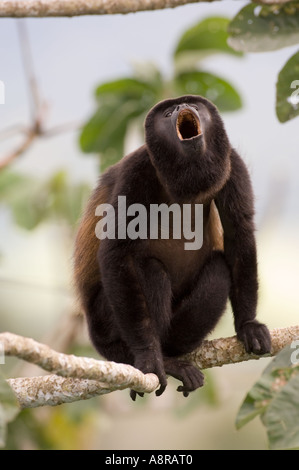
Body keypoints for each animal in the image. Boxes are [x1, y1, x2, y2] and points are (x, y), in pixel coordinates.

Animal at [74, 94, 272, 400]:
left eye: (195, 105)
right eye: (167, 113)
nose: (180, 107)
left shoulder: (232, 162)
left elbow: (239, 233)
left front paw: (248, 325)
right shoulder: (138, 169)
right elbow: (117, 251)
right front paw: (147, 358)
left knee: (219, 269)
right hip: (104, 324)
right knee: (149, 271)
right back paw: (159, 360)